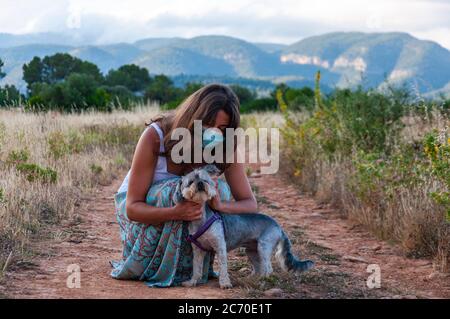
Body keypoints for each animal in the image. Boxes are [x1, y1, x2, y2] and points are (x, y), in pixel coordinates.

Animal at [174, 165, 314, 290]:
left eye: (205, 180)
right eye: (190, 182)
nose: (200, 184)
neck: (202, 220)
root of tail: (278, 226)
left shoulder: (220, 247)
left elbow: (223, 268)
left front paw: (225, 283)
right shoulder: (198, 250)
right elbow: (196, 268)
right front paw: (192, 282)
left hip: (264, 247)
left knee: (268, 269)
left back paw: (261, 281)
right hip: (252, 251)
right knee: (259, 268)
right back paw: (253, 279)